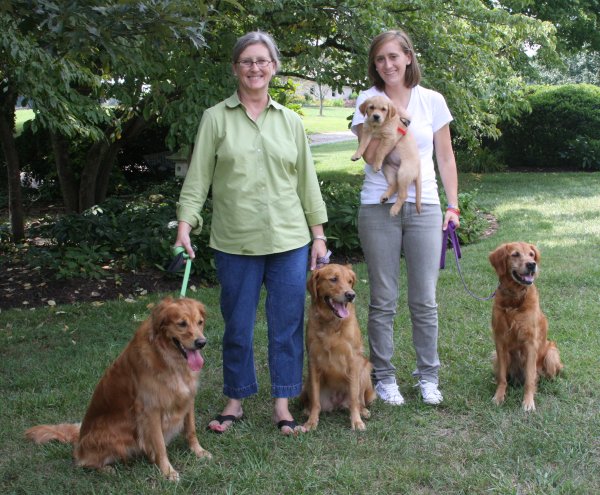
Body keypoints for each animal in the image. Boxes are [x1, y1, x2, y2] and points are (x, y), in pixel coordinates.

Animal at [26, 298, 213, 480]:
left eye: (200, 322)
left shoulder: (188, 398)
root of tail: (79, 439)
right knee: (81, 461)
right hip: (116, 435)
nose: (201, 342)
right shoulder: (150, 410)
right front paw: (167, 471)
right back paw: (105, 469)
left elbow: (191, 430)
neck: (168, 358)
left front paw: (199, 451)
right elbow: (159, 445)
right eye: (181, 324)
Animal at [300, 264, 376, 430]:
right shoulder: (313, 361)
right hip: (307, 383)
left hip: (365, 369)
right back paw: (307, 410)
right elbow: (315, 400)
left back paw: (363, 411)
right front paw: (311, 421)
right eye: (333, 279)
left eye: (349, 281)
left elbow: (354, 398)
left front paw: (356, 421)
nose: (351, 295)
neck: (331, 323)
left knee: (360, 400)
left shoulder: (353, 361)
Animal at [488, 242, 564, 412]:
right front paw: (499, 396)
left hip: (551, 354)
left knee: (546, 375)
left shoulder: (530, 344)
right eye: (515, 254)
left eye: (531, 254)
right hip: (495, 356)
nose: (532, 264)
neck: (514, 299)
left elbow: (530, 378)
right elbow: (502, 377)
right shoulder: (500, 341)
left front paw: (528, 402)